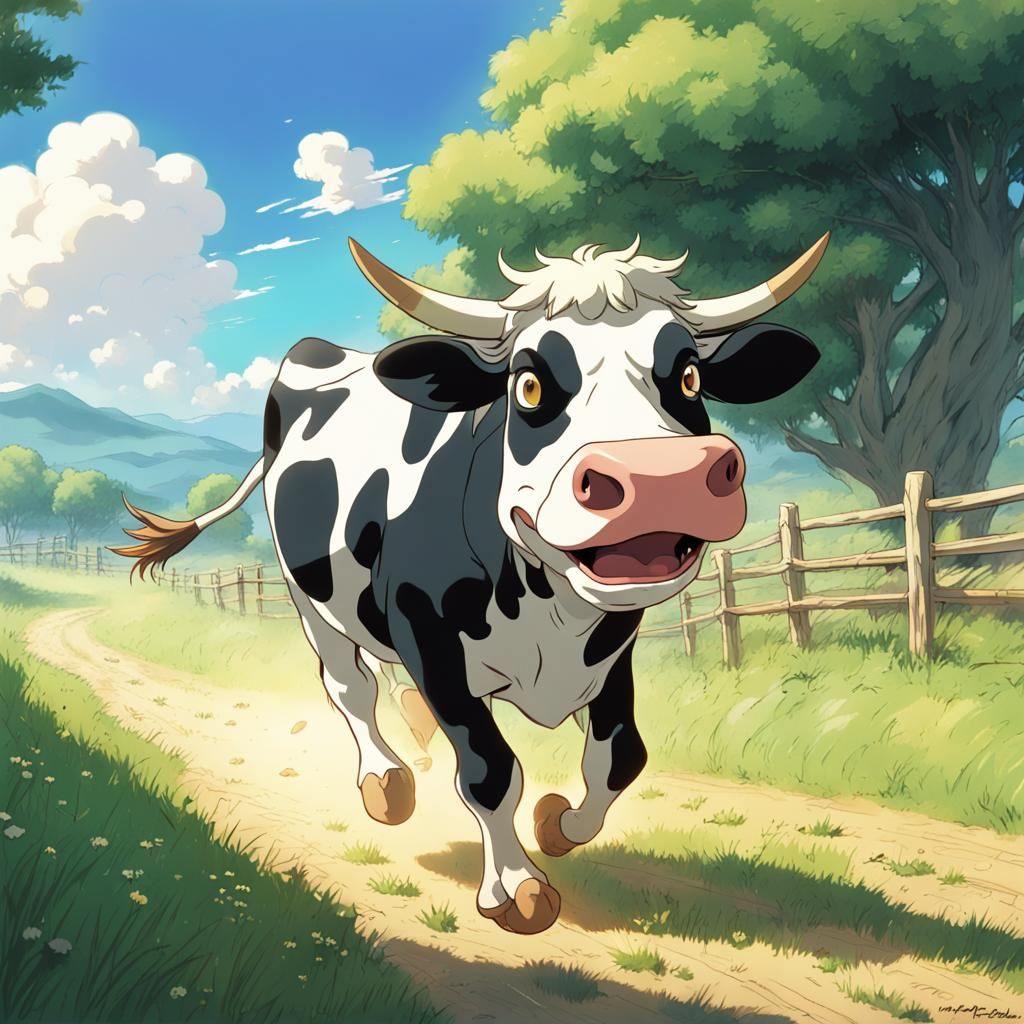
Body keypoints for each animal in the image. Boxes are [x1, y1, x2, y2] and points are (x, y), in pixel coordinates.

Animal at [113, 232, 827, 935]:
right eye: (529, 385)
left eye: (688, 375)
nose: (661, 480)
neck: (550, 617)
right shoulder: (429, 641)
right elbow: (490, 771)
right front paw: (516, 888)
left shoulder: (610, 650)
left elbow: (620, 755)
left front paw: (559, 825)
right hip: (307, 594)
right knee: (349, 686)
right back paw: (386, 781)